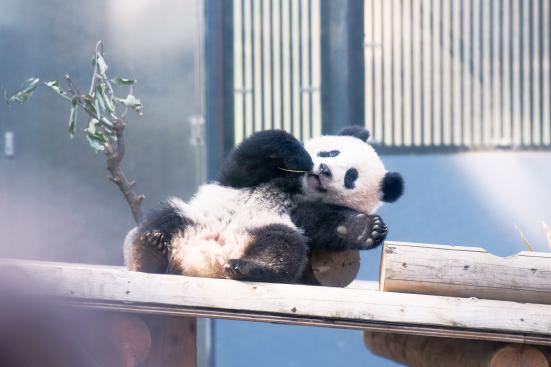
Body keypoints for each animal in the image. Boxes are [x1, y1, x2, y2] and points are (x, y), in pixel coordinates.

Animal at [124, 126, 402, 284]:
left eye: (350, 176)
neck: (296, 188)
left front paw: (367, 229)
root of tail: (207, 259)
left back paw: (247, 267)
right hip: (196, 217)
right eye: (332, 152)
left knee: (284, 246)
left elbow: (326, 224)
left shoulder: (303, 211)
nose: (323, 170)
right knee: (166, 218)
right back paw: (149, 249)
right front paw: (298, 155)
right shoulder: (251, 177)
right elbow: (248, 159)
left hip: (264, 228)